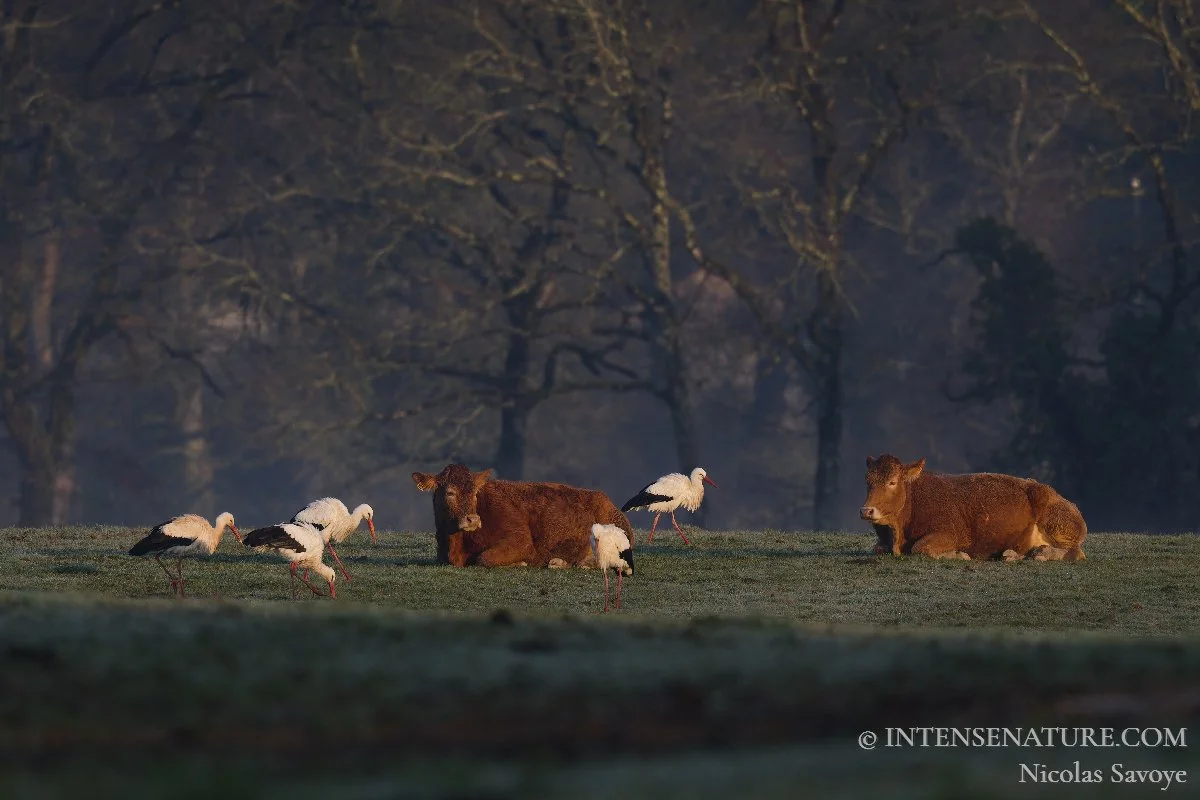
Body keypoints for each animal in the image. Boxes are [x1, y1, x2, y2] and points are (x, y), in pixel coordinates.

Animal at [411, 463, 635, 568]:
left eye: (475, 492)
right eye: (450, 492)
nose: (472, 519)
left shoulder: (521, 540)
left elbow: (484, 558)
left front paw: (518, 563)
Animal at [859, 454, 1087, 562]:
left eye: (892, 482)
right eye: (867, 480)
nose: (866, 510)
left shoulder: (954, 533)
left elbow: (920, 548)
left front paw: (958, 555)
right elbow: (877, 548)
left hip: (1058, 527)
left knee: (1076, 552)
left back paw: (1040, 553)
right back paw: (1014, 554)